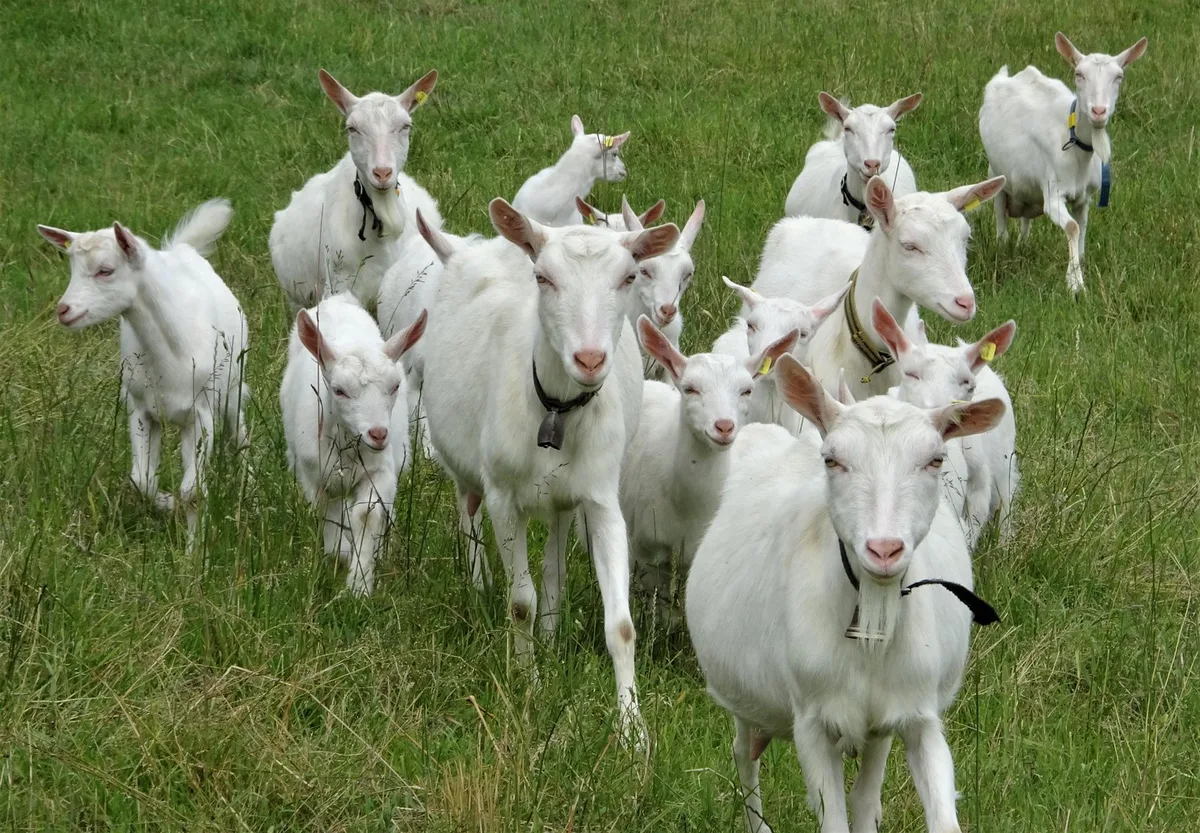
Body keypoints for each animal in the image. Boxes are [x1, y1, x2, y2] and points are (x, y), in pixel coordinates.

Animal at [37, 199, 249, 539]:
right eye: (72, 269)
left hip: (232, 387)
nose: (63, 310)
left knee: (239, 433)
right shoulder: (139, 409)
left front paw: (194, 548)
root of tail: (181, 249)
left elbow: (193, 491)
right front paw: (166, 503)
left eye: (105, 270)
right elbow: (142, 481)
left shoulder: (201, 412)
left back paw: (247, 490)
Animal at [280, 293, 427, 596]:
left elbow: (367, 514)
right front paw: (342, 555)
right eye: (339, 390)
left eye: (396, 386)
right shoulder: (315, 477)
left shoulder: (381, 470)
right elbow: (329, 515)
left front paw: (359, 585)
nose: (378, 433)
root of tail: (337, 299)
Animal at [418, 197, 680, 748]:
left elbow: (621, 624)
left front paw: (632, 728)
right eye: (543, 277)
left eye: (629, 277)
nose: (590, 359)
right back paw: (480, 585)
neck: (556, 405)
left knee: (556, 545)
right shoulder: (503, 496)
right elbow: (520, 602)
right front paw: (527, 687)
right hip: (465, 466)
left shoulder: (602, 497)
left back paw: (554, 630)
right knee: (466, 508)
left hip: (564, 495)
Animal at [686, 355, 1005, 833]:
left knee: (865, 792)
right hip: (749, 701)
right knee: (744, 754)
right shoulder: (812, 720)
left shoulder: (918, 713)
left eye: (935, 459)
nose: (884, 549)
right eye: (832, 460)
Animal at [979, 33, 1148, 295]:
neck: (1077, 148)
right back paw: (1003, 246)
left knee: (1025, 222)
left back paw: (1022, 244)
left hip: (1029, 191)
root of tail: (1006, 77)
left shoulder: (1084, 198)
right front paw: (1075, 284)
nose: (1098, 111)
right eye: (1079, 74)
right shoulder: (1054, 193)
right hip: (995, 174)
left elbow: (1082, 229)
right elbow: (1072, 228)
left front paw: (1079, 268)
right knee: (1000, 218)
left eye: (1118, 77)